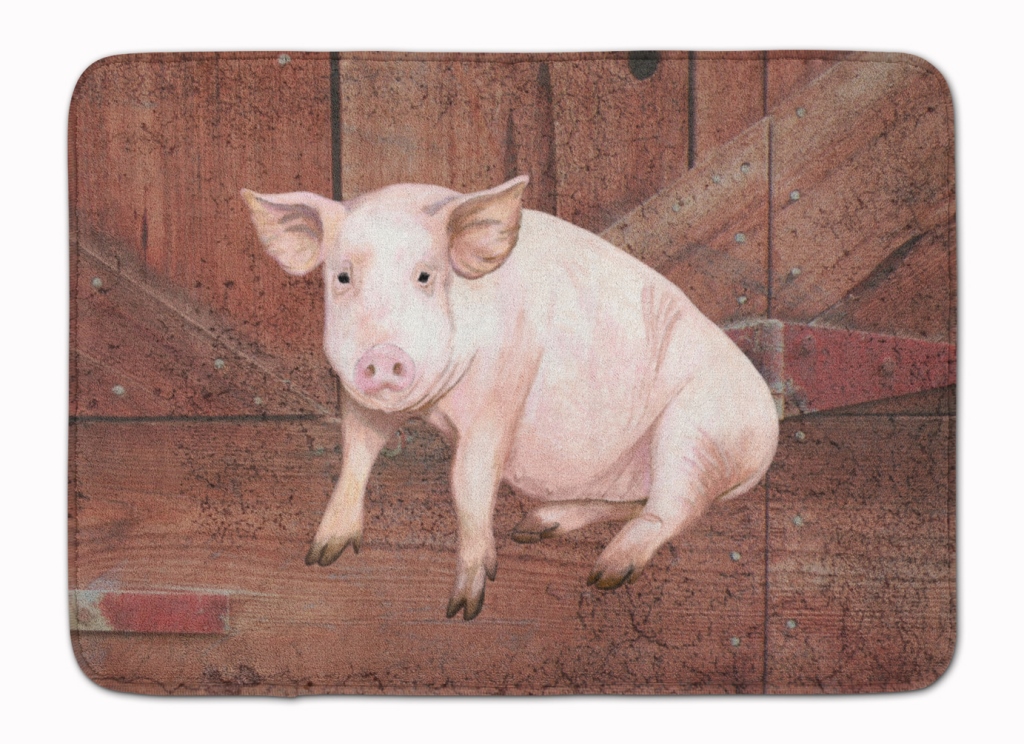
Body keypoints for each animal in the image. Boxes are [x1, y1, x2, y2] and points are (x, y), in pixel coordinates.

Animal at [241, 176, 778, 620]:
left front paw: (463, 607)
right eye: (343, 277)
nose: (384, 356)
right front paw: (319, 554)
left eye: (425, 276)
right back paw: (537, 525)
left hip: (698, 430)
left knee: (674, 508)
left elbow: (468, 480)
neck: (431, 409)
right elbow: (356, 453)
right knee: (640, 501)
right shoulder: (359, 398)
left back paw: (605, 573)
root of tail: (769, 432)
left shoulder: (504, 386)